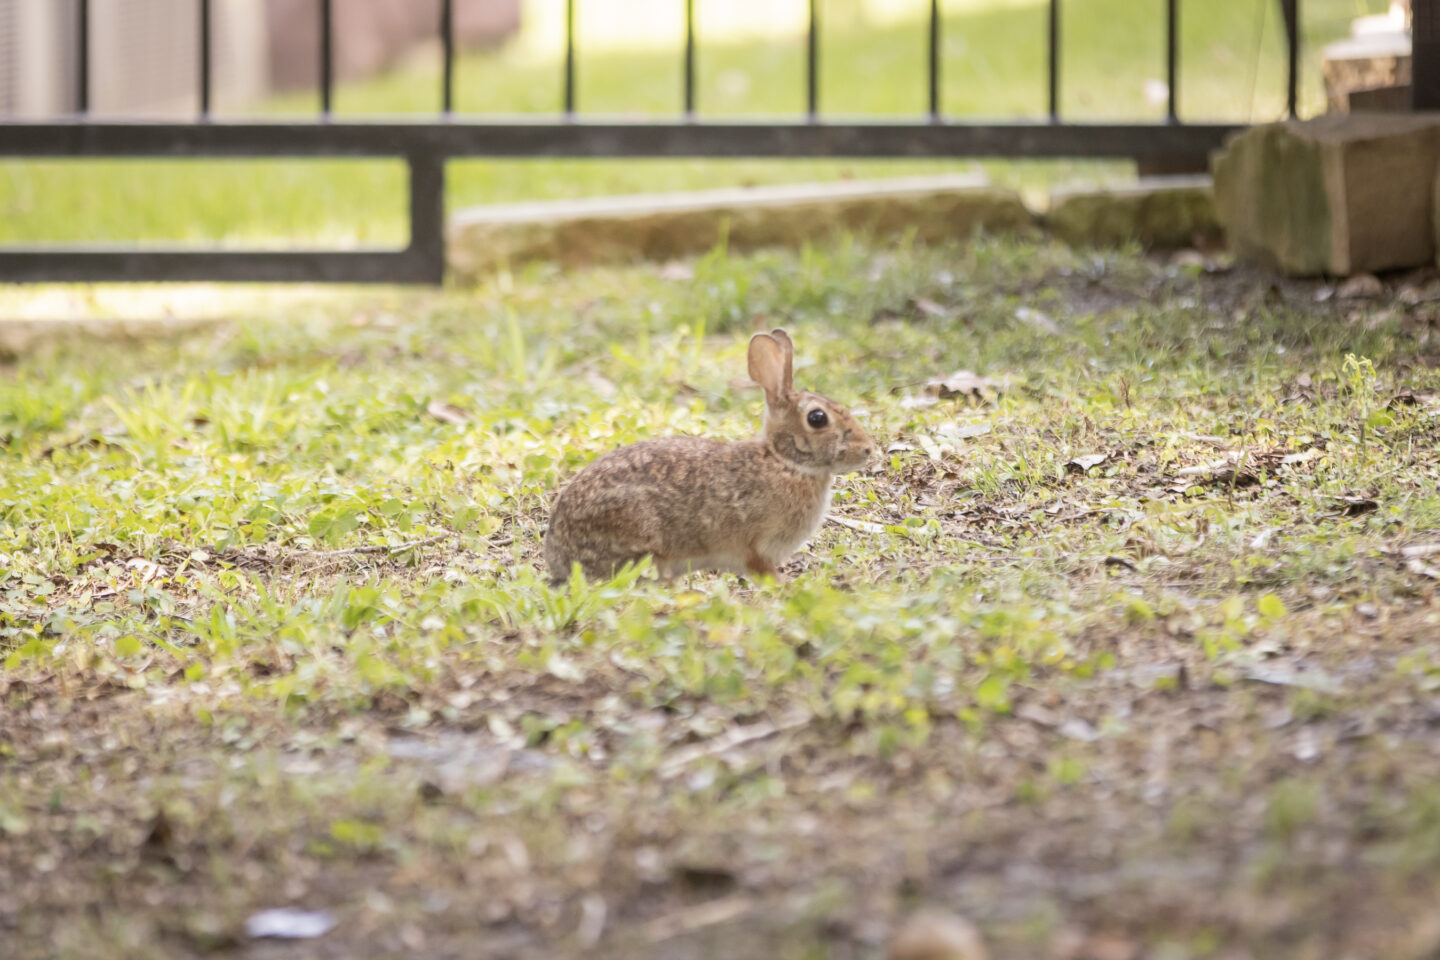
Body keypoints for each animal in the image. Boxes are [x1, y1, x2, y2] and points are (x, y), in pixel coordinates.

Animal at [541, 331, 869, 587]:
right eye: (817, 418)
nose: (868, 449)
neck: (784, 462)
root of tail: (559, 554)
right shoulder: (755, 547)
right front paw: (787, 588)